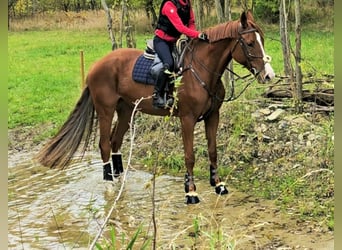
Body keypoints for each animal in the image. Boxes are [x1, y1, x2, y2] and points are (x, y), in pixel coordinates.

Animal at [36, 10, 276, 204]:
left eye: (262, 39)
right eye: (250, 43)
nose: (268, 75)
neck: (201, 70)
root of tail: (96, 65)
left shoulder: (212, 116)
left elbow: (212, 150)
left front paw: (218, 185)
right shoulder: (187, 119)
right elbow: (190, 155)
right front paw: (191, 192)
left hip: (126, 111)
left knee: (115, 142)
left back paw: (120, 179)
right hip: (106, 110)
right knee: (104, 144)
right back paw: (110, 184)